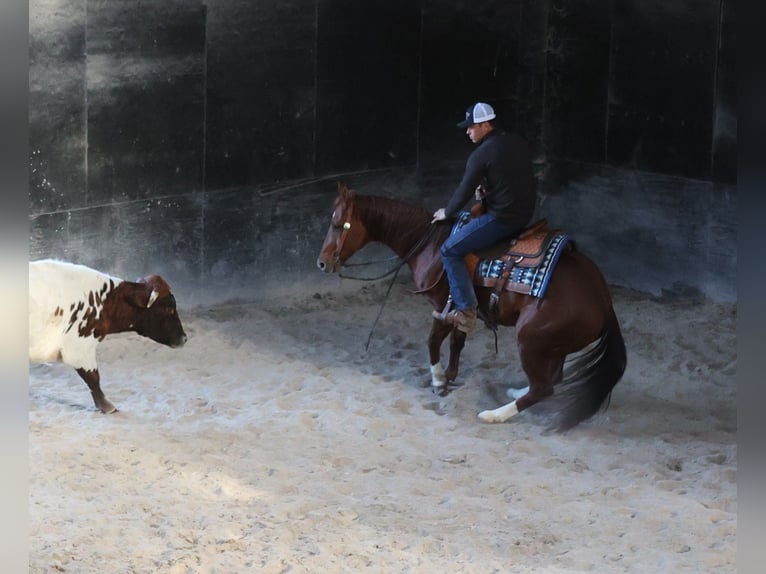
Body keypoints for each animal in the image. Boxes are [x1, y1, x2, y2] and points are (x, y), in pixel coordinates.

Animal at [29, 260, 188, 414]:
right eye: (169, 308)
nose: (184, 338)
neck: (105, 301)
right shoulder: (80, 348)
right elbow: (93, 377)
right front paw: (107, 406)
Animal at [316, 183, 628, 432]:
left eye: (337, 223)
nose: (321, 262)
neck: (431, 244)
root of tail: (603, 299)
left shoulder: (442, 305)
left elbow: (433, 342)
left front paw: (439, 380)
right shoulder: (463, 309)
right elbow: (457, 341)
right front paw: (451, 375)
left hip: (530, 338)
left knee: (543, 387)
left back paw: (494, 414)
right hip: (553, 344)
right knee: (552, 378)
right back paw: (515, 389)